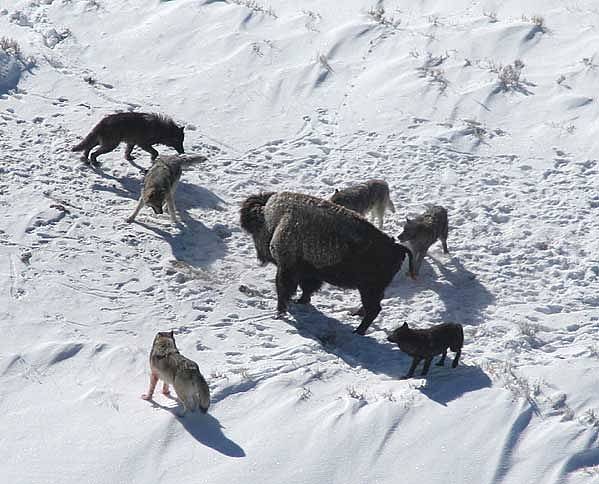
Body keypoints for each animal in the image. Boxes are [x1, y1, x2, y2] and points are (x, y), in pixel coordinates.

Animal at [238, 191, 412, 334]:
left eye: (254, 231)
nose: (260, 257)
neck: (274, 220)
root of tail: (397, 247)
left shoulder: (287, 270)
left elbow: (284, 290)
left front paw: (280, 313)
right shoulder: (309, 273)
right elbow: (307, 289)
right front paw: (300, 301)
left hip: (368, 289)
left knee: (374, 309)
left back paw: (358, 331)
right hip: (371, 290)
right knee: (372, 307)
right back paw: (355, 315)